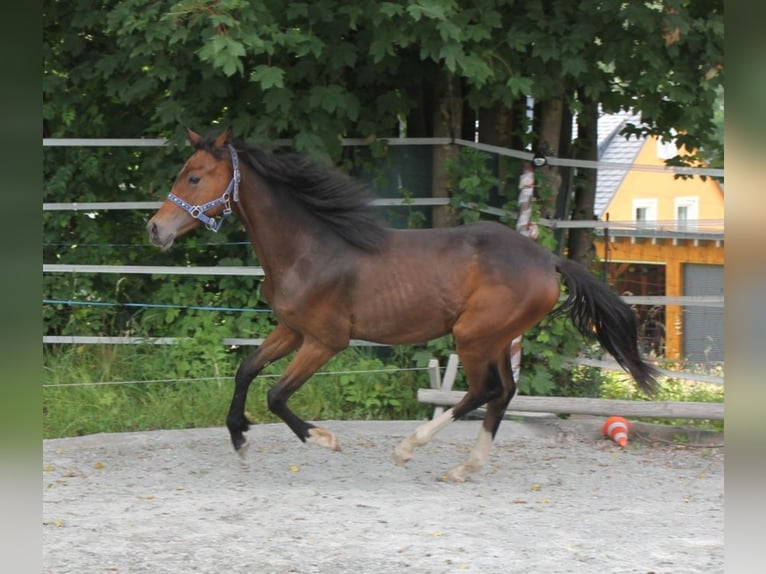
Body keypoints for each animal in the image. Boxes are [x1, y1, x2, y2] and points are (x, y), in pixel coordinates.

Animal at [148, 129, 660, 482]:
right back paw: (464, 467)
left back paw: (409, 448)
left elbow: (276, 394)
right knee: (504, 392)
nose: (156, 229)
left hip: (473, 336)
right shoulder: (291, 330)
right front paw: (239, 438)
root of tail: (548, 258)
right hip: (496, 337)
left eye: (195, 176)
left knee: (485, 391)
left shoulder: (325, 341)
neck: (309, 249)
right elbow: (246, 371)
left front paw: (323, 439)